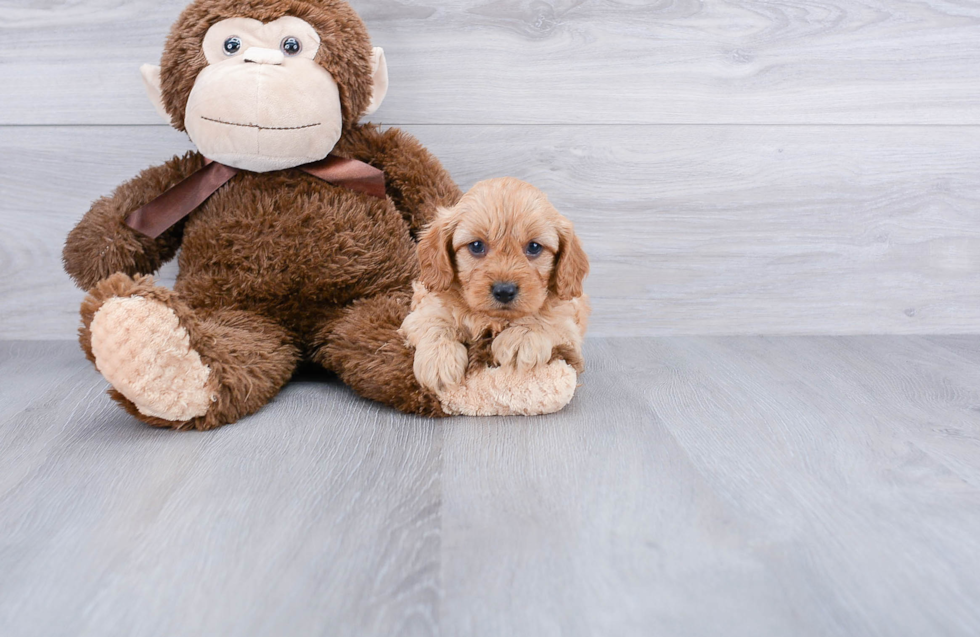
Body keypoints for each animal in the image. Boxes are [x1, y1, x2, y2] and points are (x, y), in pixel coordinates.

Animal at [400, 175, 588, 392]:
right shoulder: (424, 310)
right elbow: (434, 322)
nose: (504, 291)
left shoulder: (570, 326)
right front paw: (439, 360)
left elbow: (549, 318)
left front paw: (521, 337)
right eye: (476, 246)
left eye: (534, 247)